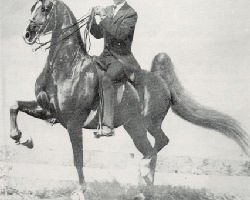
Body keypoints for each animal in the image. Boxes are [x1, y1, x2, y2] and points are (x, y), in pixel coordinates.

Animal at [8, 0, 249, 199]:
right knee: (153, 147)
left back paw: (143, 178)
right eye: (32, 7)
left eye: (45, 8)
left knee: (157, 146)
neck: (65, 67)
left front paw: (81, 192)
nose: (28, 34)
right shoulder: (48, 111)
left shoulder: (74, 123)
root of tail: (161, 80)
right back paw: (144, 186)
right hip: (134, 126)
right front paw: (22, 138)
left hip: (148, 123)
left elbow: (78, 159)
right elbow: (14, 105)